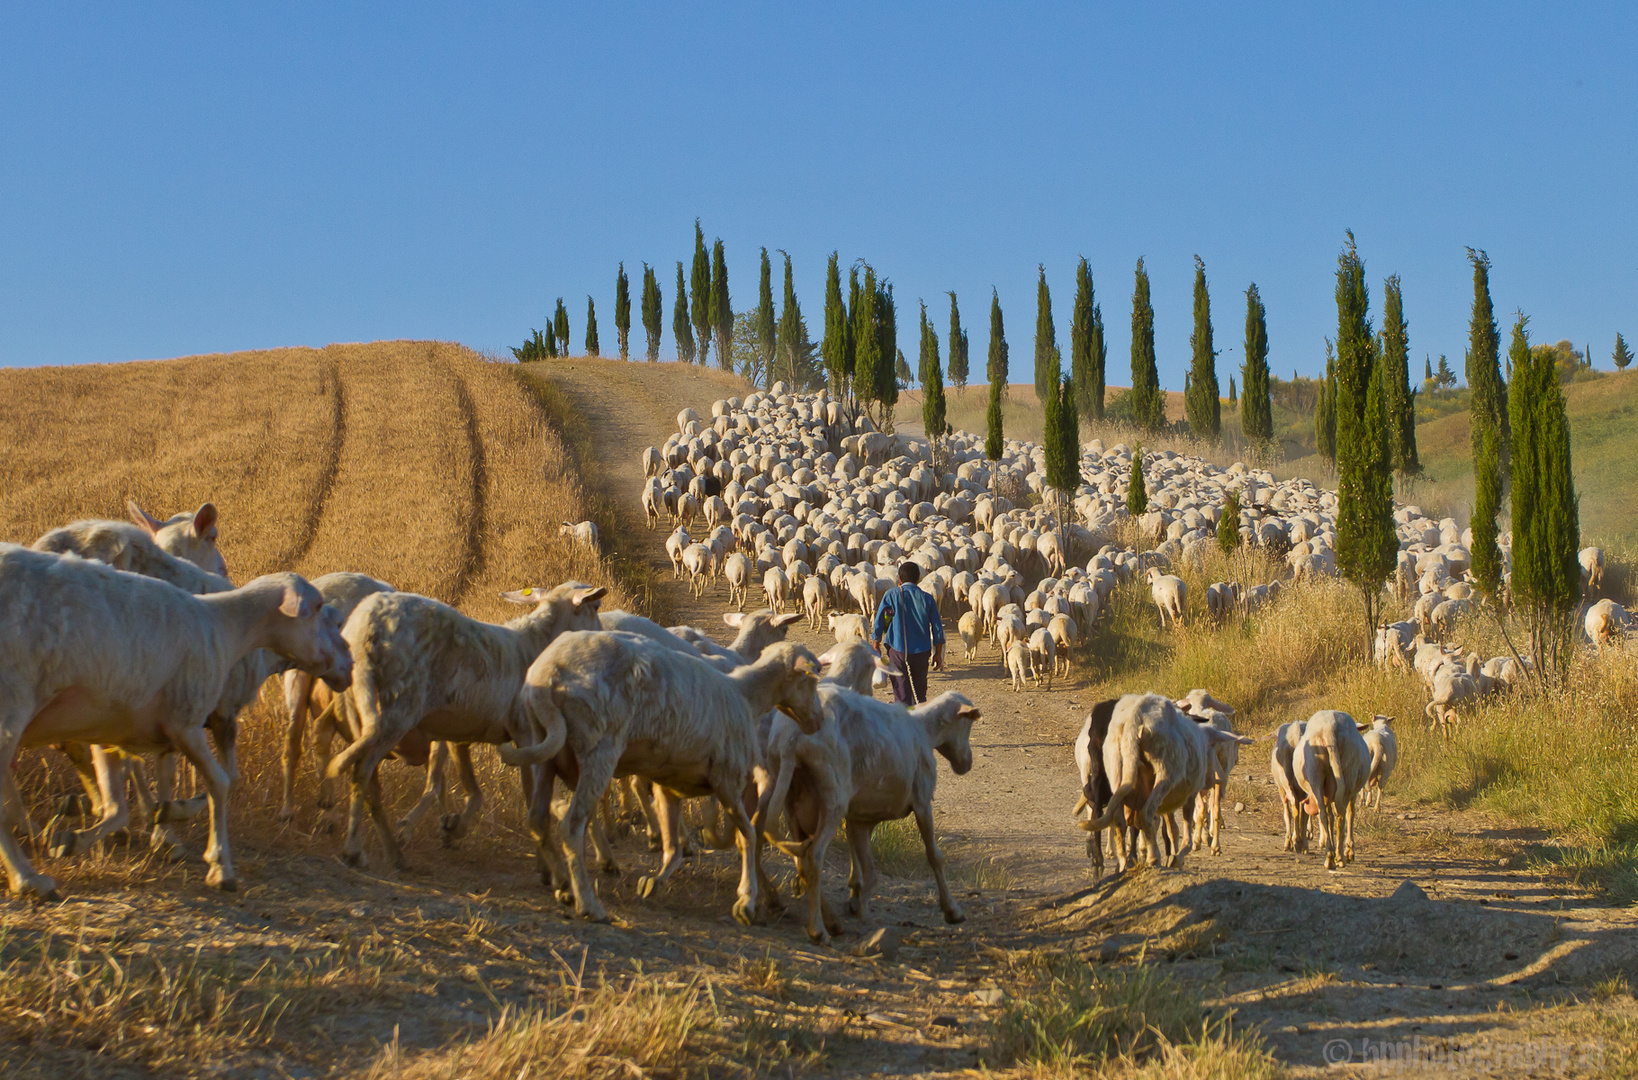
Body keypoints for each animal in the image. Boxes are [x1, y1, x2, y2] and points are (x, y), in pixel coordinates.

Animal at [0, 544, 348, 898]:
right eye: (318, 608)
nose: (348, 659)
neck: (226, 627)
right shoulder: (189, 720)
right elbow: (221, 782)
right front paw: (219, 865)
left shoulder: (109, 728)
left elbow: (118, 806)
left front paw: (74, 839)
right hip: (12, 704)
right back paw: (28, 878)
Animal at [319, 583, 609, 871]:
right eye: (595, 607)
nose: (602, 636)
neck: (534, 644)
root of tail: (368, 622)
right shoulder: (526, 733)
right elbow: (530, 796)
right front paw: (545, 862)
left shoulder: (460, 735)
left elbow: (473, 790)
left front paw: (452, 828)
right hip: (398, 708)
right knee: (362, 770)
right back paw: (356, 851)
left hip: (355, 706)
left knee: (369, 782)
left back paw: (392, 853)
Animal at [504, 632, 825, 930]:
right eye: (811, 681)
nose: (818, 721)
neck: (745, 696)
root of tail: (549, 671)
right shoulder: (728, 778)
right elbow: (747, 835)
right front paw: (746, 901)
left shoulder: (667, 784)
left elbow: (673, 846)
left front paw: (654, 883)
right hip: (599, 748)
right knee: (571, 824)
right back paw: (588, 904)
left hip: (543, 750)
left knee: (537, 819)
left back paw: (563, 887)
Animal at [760, 688, 976, 943]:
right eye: (968, 724)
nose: (967, 763)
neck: (924, 730)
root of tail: (790, 739)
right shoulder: (922, 801)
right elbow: (934, 856)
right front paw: (952, 911)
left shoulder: (860, 818)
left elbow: (867, 866)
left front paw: (857, 902)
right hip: (833, 798)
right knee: (814, 855)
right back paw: (819, 930)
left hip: (790, 800)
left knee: (801, 859)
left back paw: (832, 921)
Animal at [1290, 714, 1369, 871]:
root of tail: (1330, 727)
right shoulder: (1352, 792)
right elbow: (1351, 814)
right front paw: (1350, 850)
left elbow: (1330, 816)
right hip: (1348, 774)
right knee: (1341, 816)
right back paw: (1340, 857)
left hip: (1316, 774)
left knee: (1325, 815)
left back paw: (1330, 857)